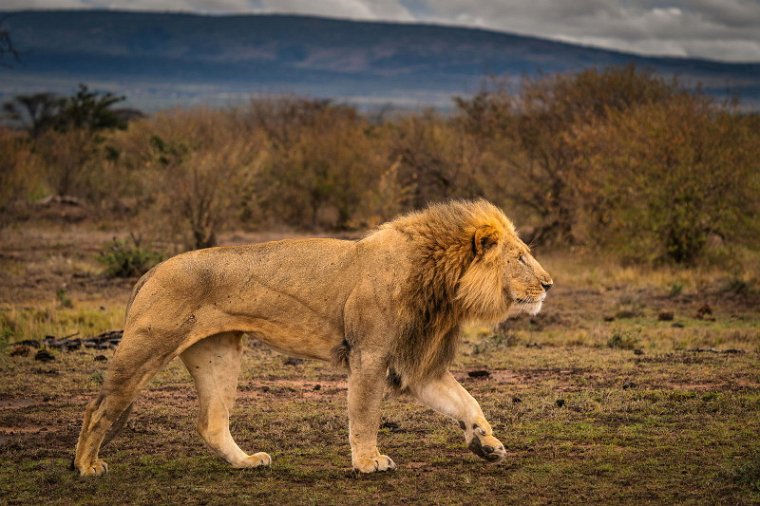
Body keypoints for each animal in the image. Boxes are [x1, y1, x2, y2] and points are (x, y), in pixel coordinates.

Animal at [74, 200, 552, 476]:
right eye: (520, 258)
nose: (549, 285)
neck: (444, 284)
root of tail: (152, 269)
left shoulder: (417, 366)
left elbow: (467, 402)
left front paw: (487, 445)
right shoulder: (369, 354)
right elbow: (365, 415)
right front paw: (368, 463)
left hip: (218, 353)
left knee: (211, 422)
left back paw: (247, 462)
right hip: (147, 347)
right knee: (99, 406)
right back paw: (86, 465)